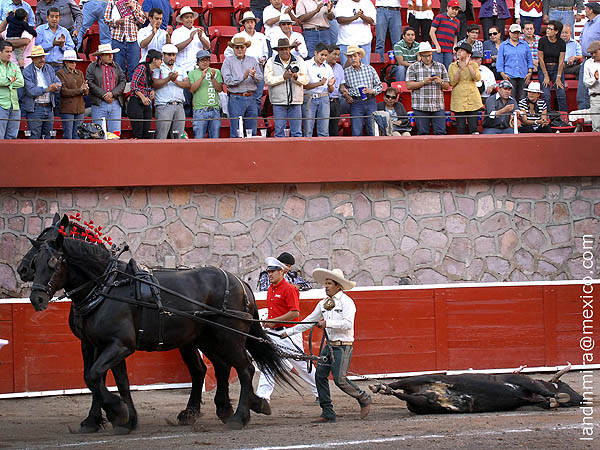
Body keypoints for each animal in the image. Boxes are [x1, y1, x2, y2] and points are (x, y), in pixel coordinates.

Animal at [27, 229, 290, 432]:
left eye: (53, 263)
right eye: (35, 262)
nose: (36, 298)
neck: (106, 286)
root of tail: (240, 282)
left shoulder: (120, 344)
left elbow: (95, 376)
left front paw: (118, 412)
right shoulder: (95, 345)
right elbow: (104, 379)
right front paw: (116, 420)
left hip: (228, 338)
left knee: (245, 369)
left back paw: (239, 416)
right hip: (207, 339)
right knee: (218, 368)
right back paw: (229, 408)